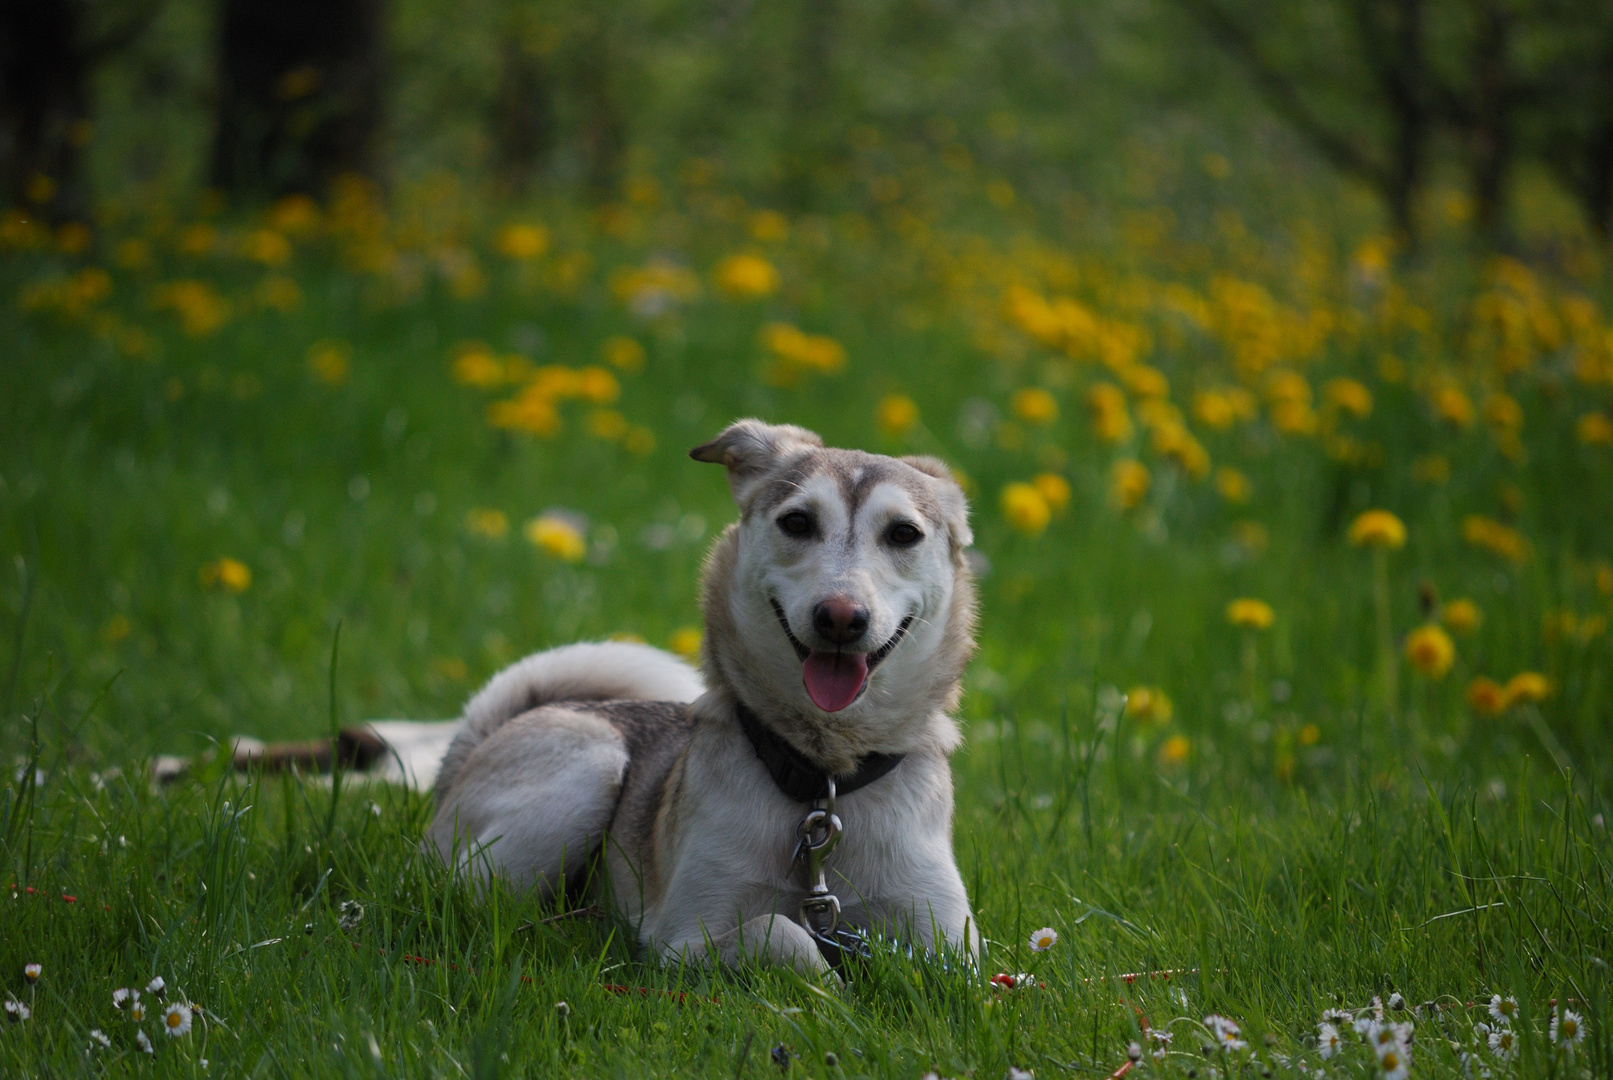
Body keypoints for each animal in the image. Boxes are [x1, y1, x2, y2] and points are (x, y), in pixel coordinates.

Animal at [422, 419, 974, 980]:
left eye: (903, 533)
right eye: (797, 522)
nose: (840, 617)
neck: (823, 784)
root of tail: (470, 750)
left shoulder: (954, 948)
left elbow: (938, 971)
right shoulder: (682, 941)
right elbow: (783, 933)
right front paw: (832, 984)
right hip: (585, 771)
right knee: (473, 900)